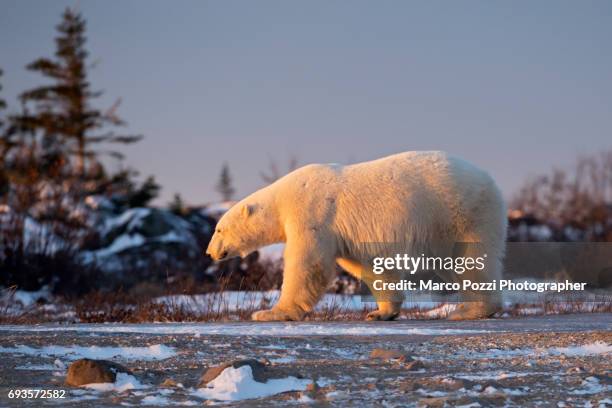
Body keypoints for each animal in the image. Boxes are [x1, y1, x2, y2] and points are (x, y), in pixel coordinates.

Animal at [207, 151, 506, 320]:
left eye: (219, 229)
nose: (210, 251)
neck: (282, 198)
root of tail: (490, 180)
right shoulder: (345, 235)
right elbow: (371, 266)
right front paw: (380, 312)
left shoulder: (312, 214)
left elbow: (307, 264)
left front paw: (270, 313)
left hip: (456, 213)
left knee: (468, 260)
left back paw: (469, 310)